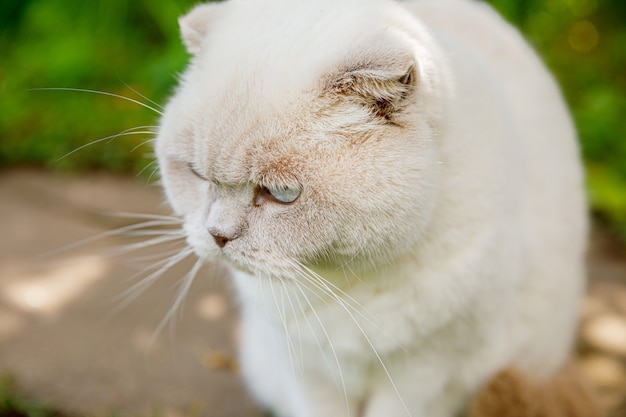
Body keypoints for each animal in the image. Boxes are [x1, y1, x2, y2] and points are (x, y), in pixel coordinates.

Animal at [155, 0, 584, 414]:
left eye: (282, 193)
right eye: (196, 174)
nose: (217, 235)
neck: (342, 280)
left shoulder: (425, 371)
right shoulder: (307, 368)